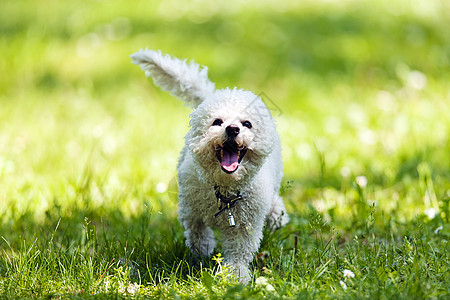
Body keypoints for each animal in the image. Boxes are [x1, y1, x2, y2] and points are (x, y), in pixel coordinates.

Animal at [131, 48, 288, 282]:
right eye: (217, 122)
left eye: (247, 124)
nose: (232, 129)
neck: (225, 193)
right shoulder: (192, 211)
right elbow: (198, 235)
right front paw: (202, 257)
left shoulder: (245, 225)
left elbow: (239, 251)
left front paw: (235, 275)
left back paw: (276, 214)